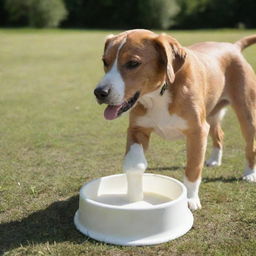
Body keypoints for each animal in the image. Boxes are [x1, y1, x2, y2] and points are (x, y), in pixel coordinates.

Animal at [93, 30, 256, 210]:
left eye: (133, 63)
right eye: (105, 61)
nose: (100, 92)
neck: (160, 93)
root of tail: (233, 46)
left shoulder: (197, 131)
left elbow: (193, 168)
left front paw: (190, 198)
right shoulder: (137, 129)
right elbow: (133, 162)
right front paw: (135, 189)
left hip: (247, 114)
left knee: (251, 145)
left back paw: (249, 173)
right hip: (212, 115)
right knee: (219, 134)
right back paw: (215, 159)